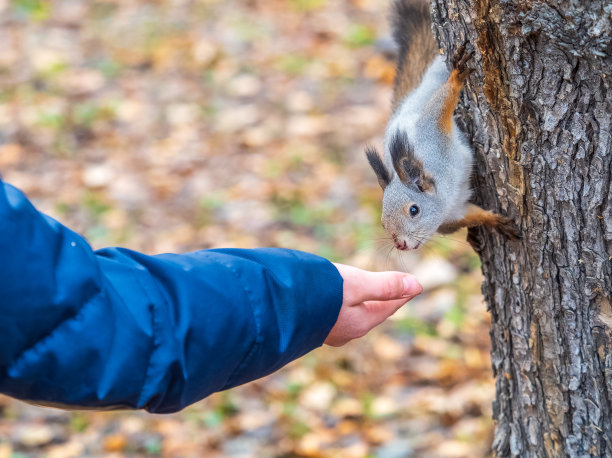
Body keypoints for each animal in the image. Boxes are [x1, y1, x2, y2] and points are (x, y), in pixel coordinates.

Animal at [366, 0, 520, 250]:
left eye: (414, 210)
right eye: (382, 222)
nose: (400, 244)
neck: (446, 197)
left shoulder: (430, 131)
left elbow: (442, 104)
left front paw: (457, 78)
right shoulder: (453, 214)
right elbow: (473, 215)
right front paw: (495, 221)